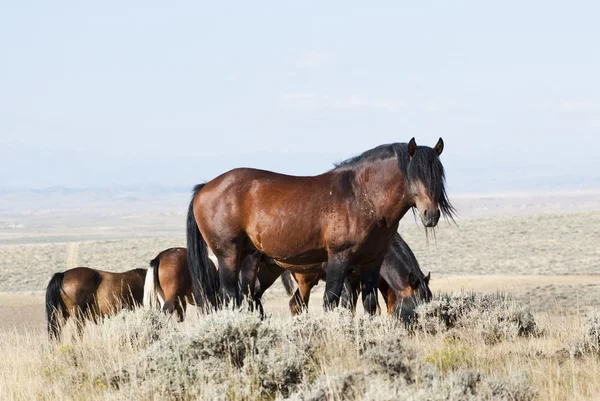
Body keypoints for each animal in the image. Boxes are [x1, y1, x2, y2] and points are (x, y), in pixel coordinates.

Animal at [186, 138, 450, 312]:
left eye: (438, 175)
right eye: (414, 175)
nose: (431, 215)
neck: (362, 197)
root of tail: (205, 187)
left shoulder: (372, 263)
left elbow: (369, 304)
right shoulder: (339, 260)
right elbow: (333, 302)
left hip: (252, 260)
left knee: (247, 297)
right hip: (228, 255)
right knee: (231, 296)